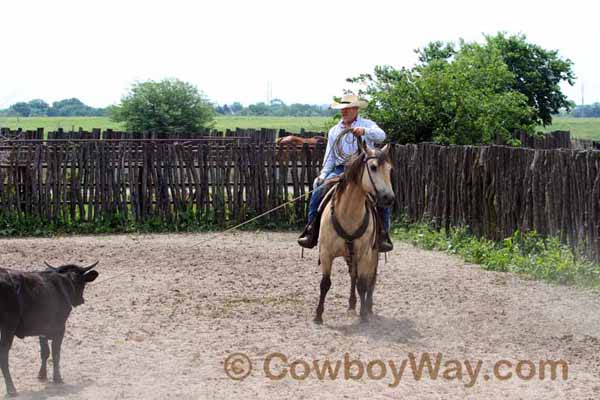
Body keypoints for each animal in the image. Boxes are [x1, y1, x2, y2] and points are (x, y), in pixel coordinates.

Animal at [0, 260, 98, 396]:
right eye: (82, 283)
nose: (81, 300)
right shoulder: (60, 328)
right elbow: (56, 353)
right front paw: (57, 378)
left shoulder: (43, 328)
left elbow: (45, 352)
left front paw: (42, 375)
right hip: (8, 327)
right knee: (3, 355)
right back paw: (11, 389)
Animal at [314, 142, 394, 324]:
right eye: (373, 167)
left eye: (390, 169)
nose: (389, 198)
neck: (348, 214)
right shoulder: (326, 253)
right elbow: (325, 283)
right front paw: (318, 315)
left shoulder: (365, 254)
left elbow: (362, 284)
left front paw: (363, 314)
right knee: (353, 276)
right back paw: (351, 305)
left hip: (372, 255)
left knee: (370, 279)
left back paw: (368, 307)